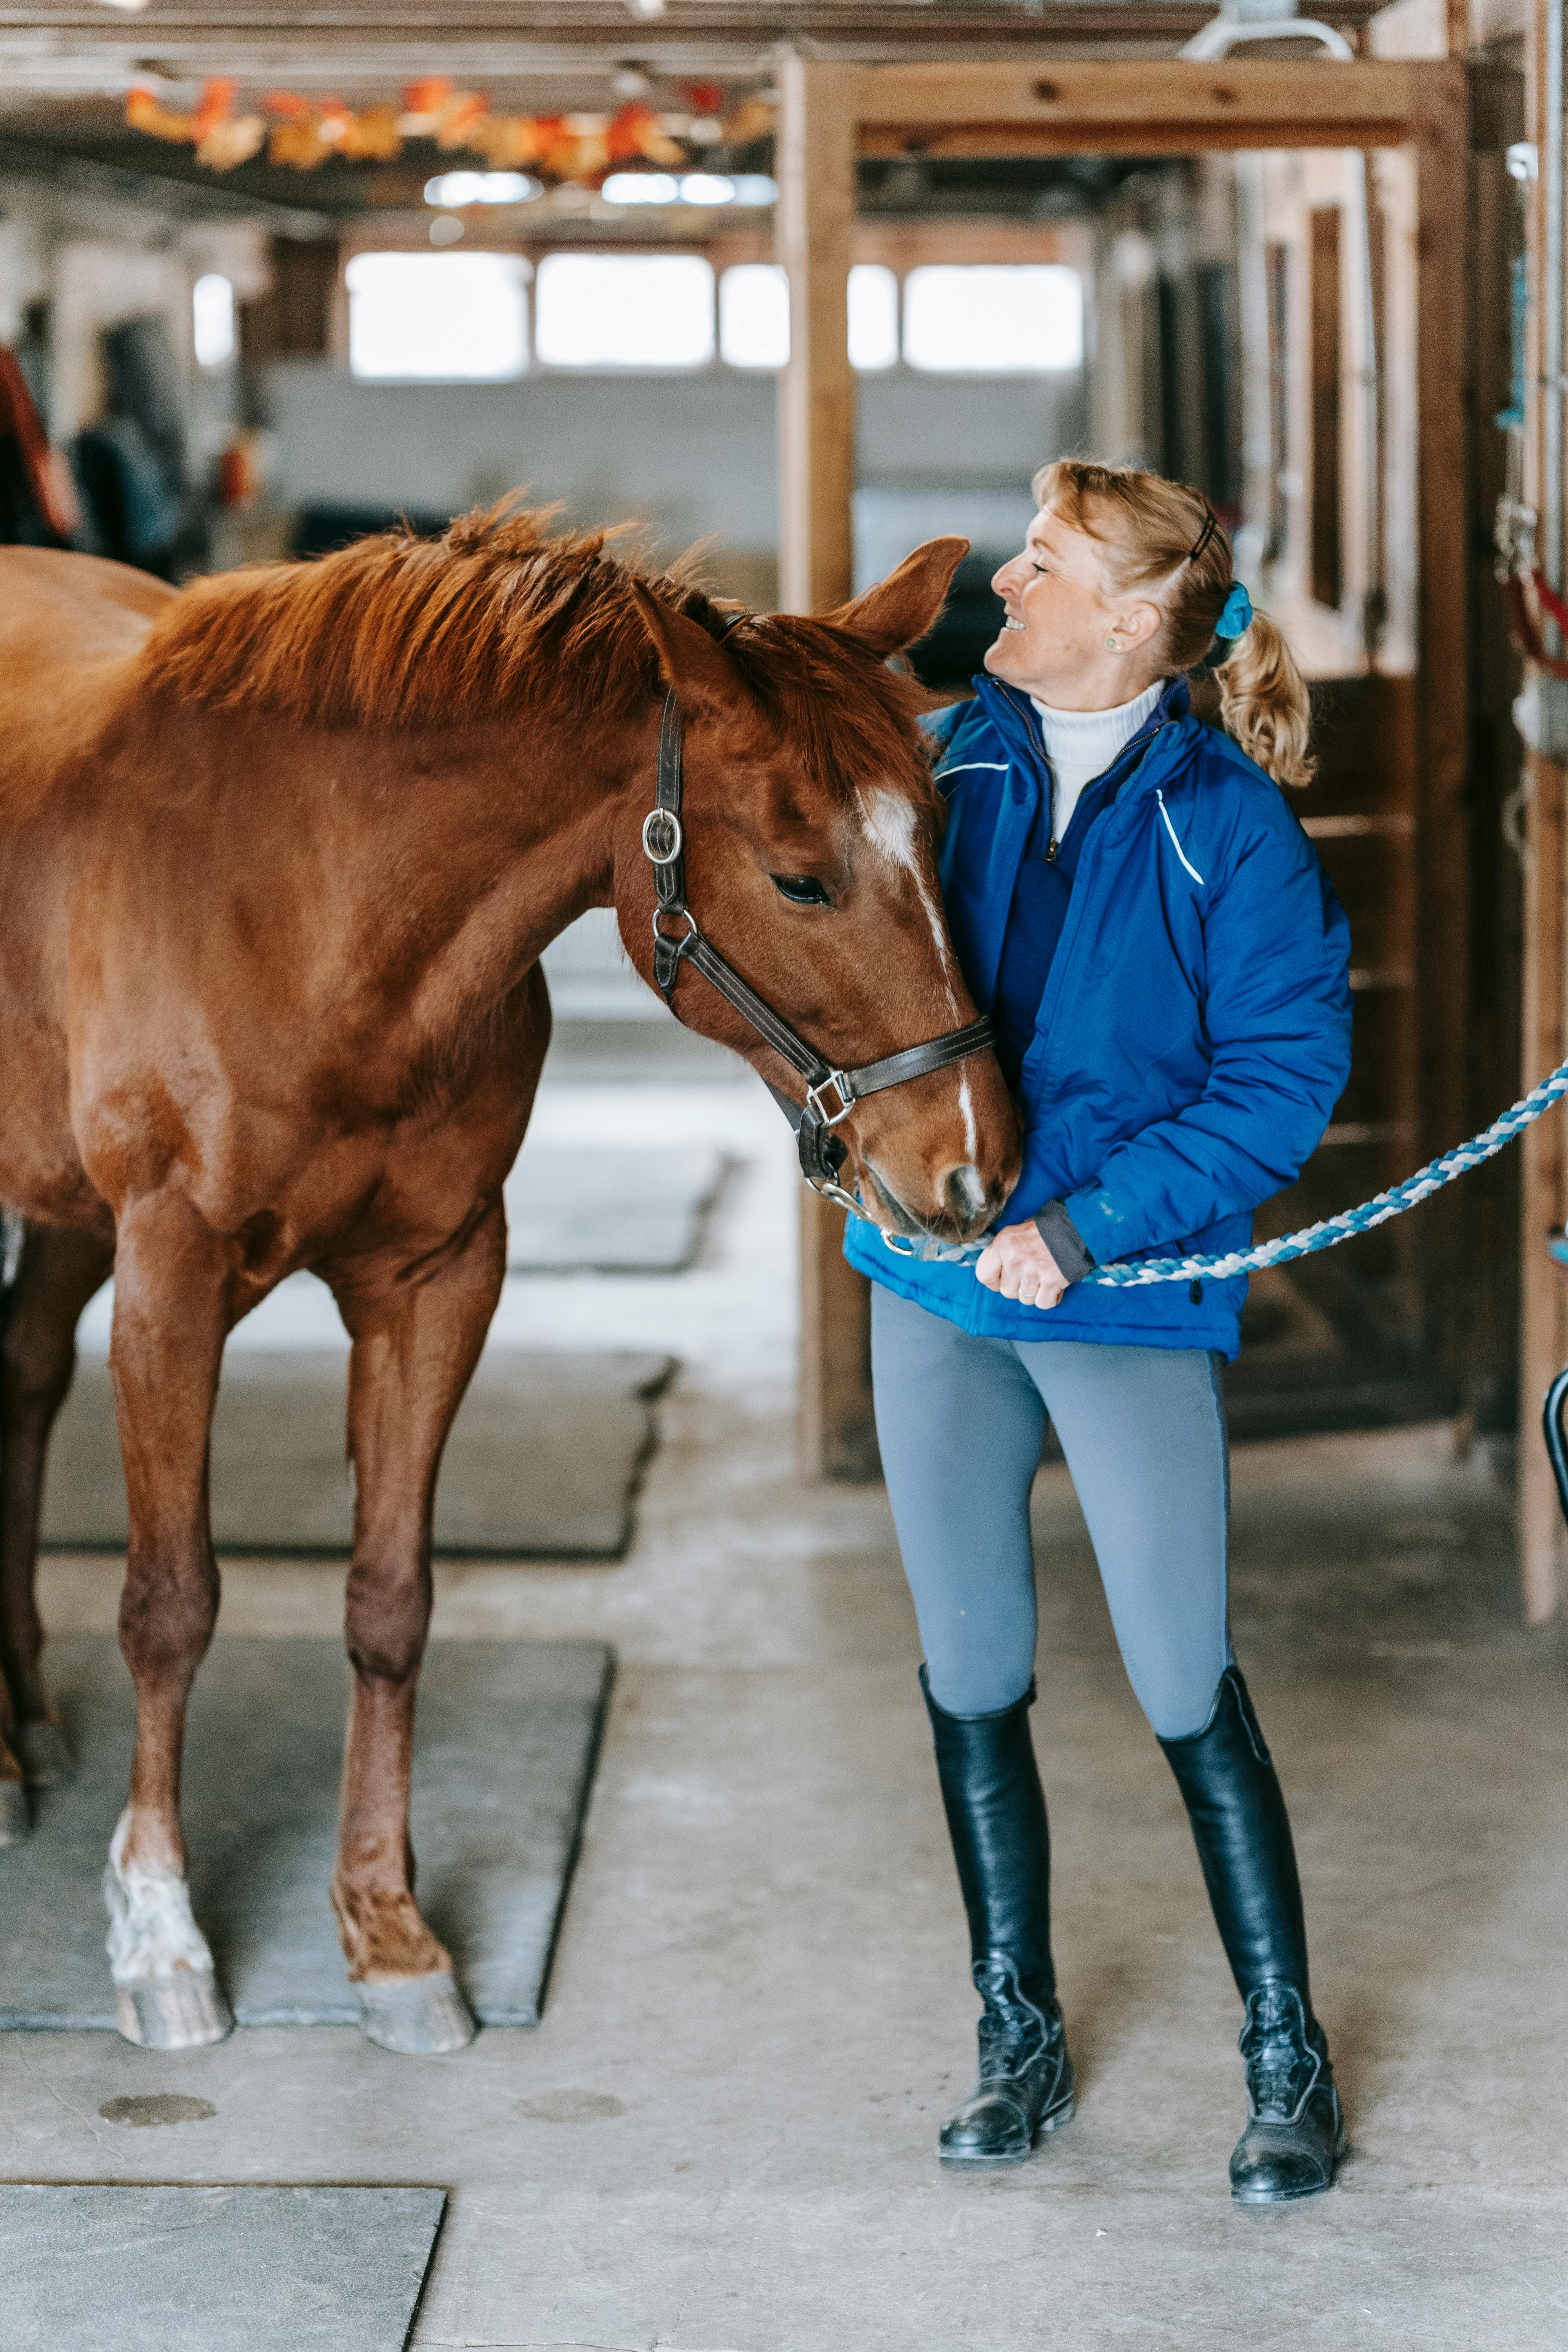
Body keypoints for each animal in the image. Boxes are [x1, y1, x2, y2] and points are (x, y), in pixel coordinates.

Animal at [0, 503, 1019, 2055]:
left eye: (945, 838)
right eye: (800, 874)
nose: (972, 1172)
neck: (305, 912)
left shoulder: (440, 1275)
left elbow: (390, 1599)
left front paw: (387, 1934)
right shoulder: (168, 1276)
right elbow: (170, 1604)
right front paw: (162, 1939)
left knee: (19, 1378)